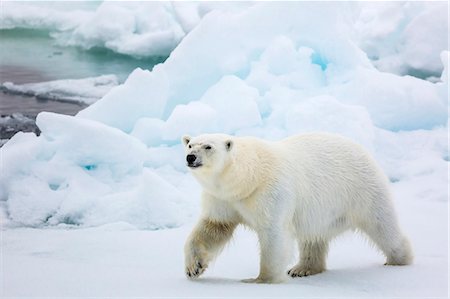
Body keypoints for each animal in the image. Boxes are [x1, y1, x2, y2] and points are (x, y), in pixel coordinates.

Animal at [181, 134, 414, 284]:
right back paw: (302, 269)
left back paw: (399, 260)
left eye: (208, 146)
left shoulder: (271, 192)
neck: (248, 178)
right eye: (190, 145)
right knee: (313, 237)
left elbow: (273, 234)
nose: (190, 157)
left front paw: (260, 279)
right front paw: (194, 268)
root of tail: (362, 149)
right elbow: (213, 227)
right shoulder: (223, 198)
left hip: (362, 190)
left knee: (382, 226)